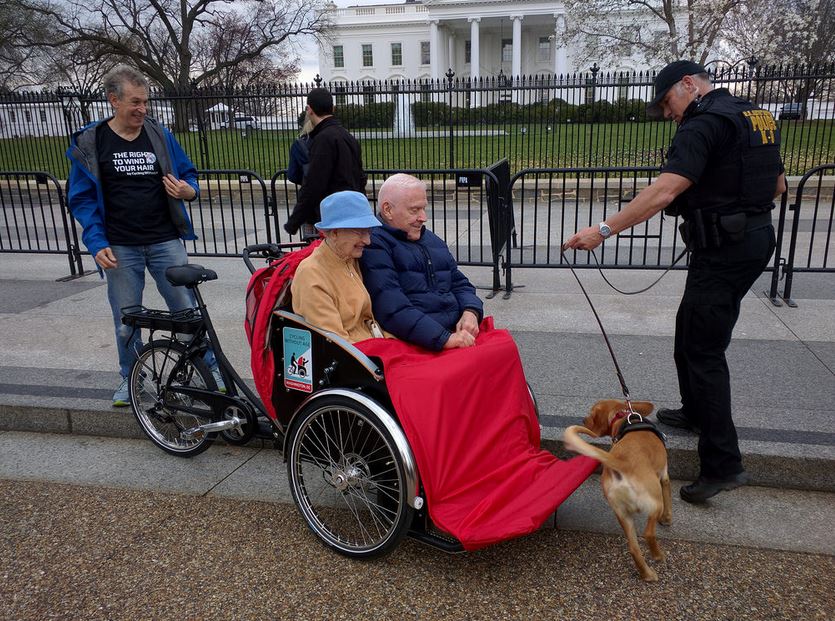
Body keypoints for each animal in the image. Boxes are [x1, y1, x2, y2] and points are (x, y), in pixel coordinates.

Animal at [560, 400, 672, 580]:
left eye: (591, 414)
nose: (583, 420)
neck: (625, 418)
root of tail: (622, 463)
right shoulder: (664, 477)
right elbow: (668, 497)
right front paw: (667, 519)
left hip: (622, 513)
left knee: (633, 548)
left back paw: (647, 574)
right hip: (654, 503)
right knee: (648, 533)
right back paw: (658, 556)